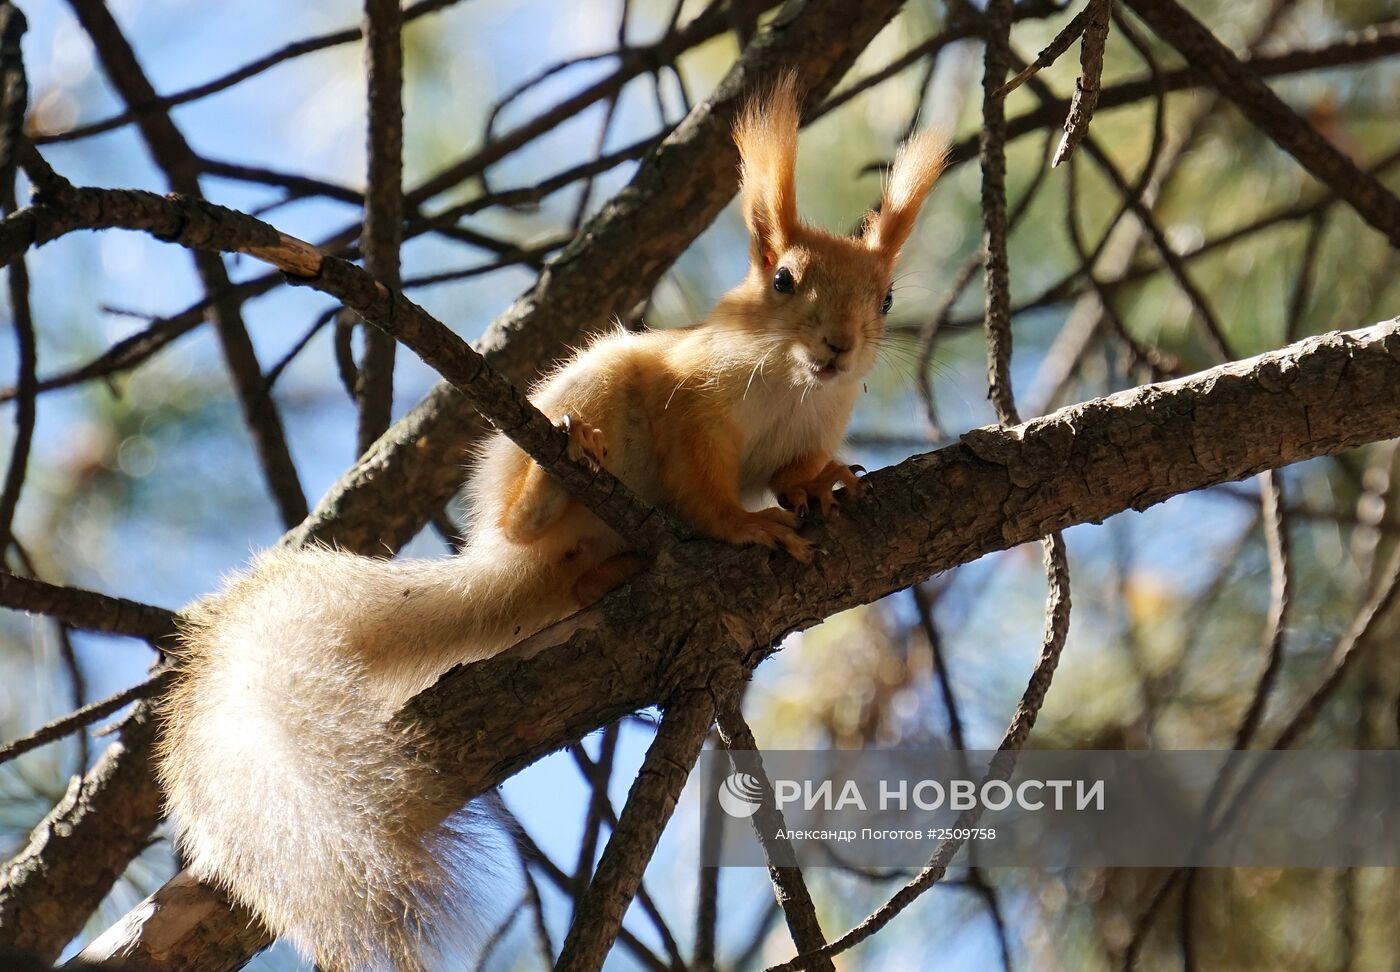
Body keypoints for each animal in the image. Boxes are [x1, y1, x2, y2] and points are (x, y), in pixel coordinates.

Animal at [153, 78, 946, 972]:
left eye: (885, 297)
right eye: (783, 279)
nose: (840, 347)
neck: (794, 383)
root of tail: (503, 566)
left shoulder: (812, 426)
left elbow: (791, 471)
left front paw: (824, 485)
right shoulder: (693, 409)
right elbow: (704, 491)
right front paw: (748, 529)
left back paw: (619, 570)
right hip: (596, 384)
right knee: (535, 518)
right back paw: (557, 476)